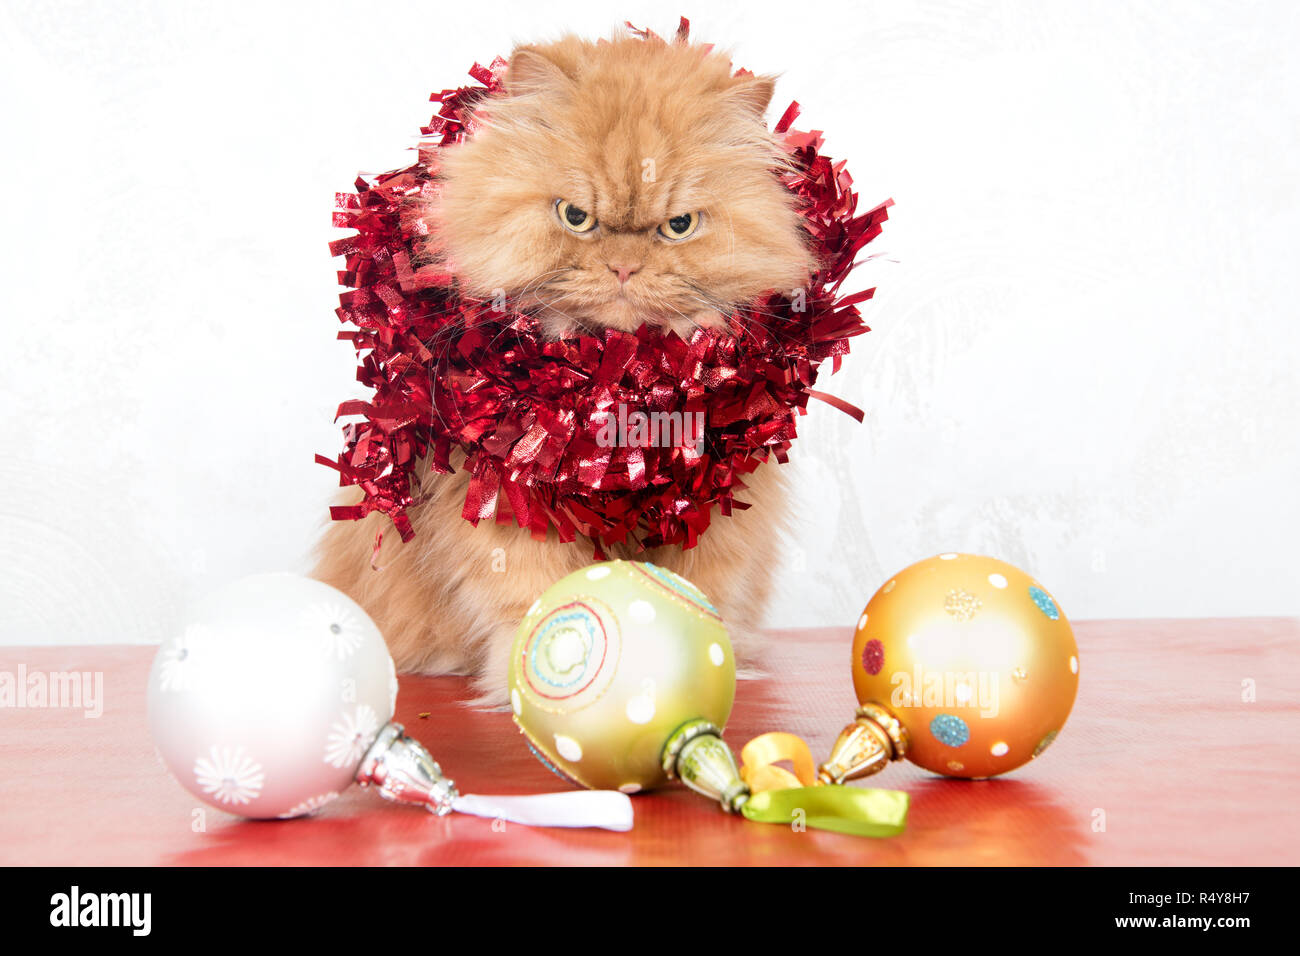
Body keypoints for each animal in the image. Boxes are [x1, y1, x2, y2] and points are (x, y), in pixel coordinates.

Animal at [312, 31, 811, 702]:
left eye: (679, 226)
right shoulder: (505, 503)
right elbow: (532, 599)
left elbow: (704, 594)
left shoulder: (716, 510)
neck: (615, 387)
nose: (624, 267)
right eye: (575, 217)